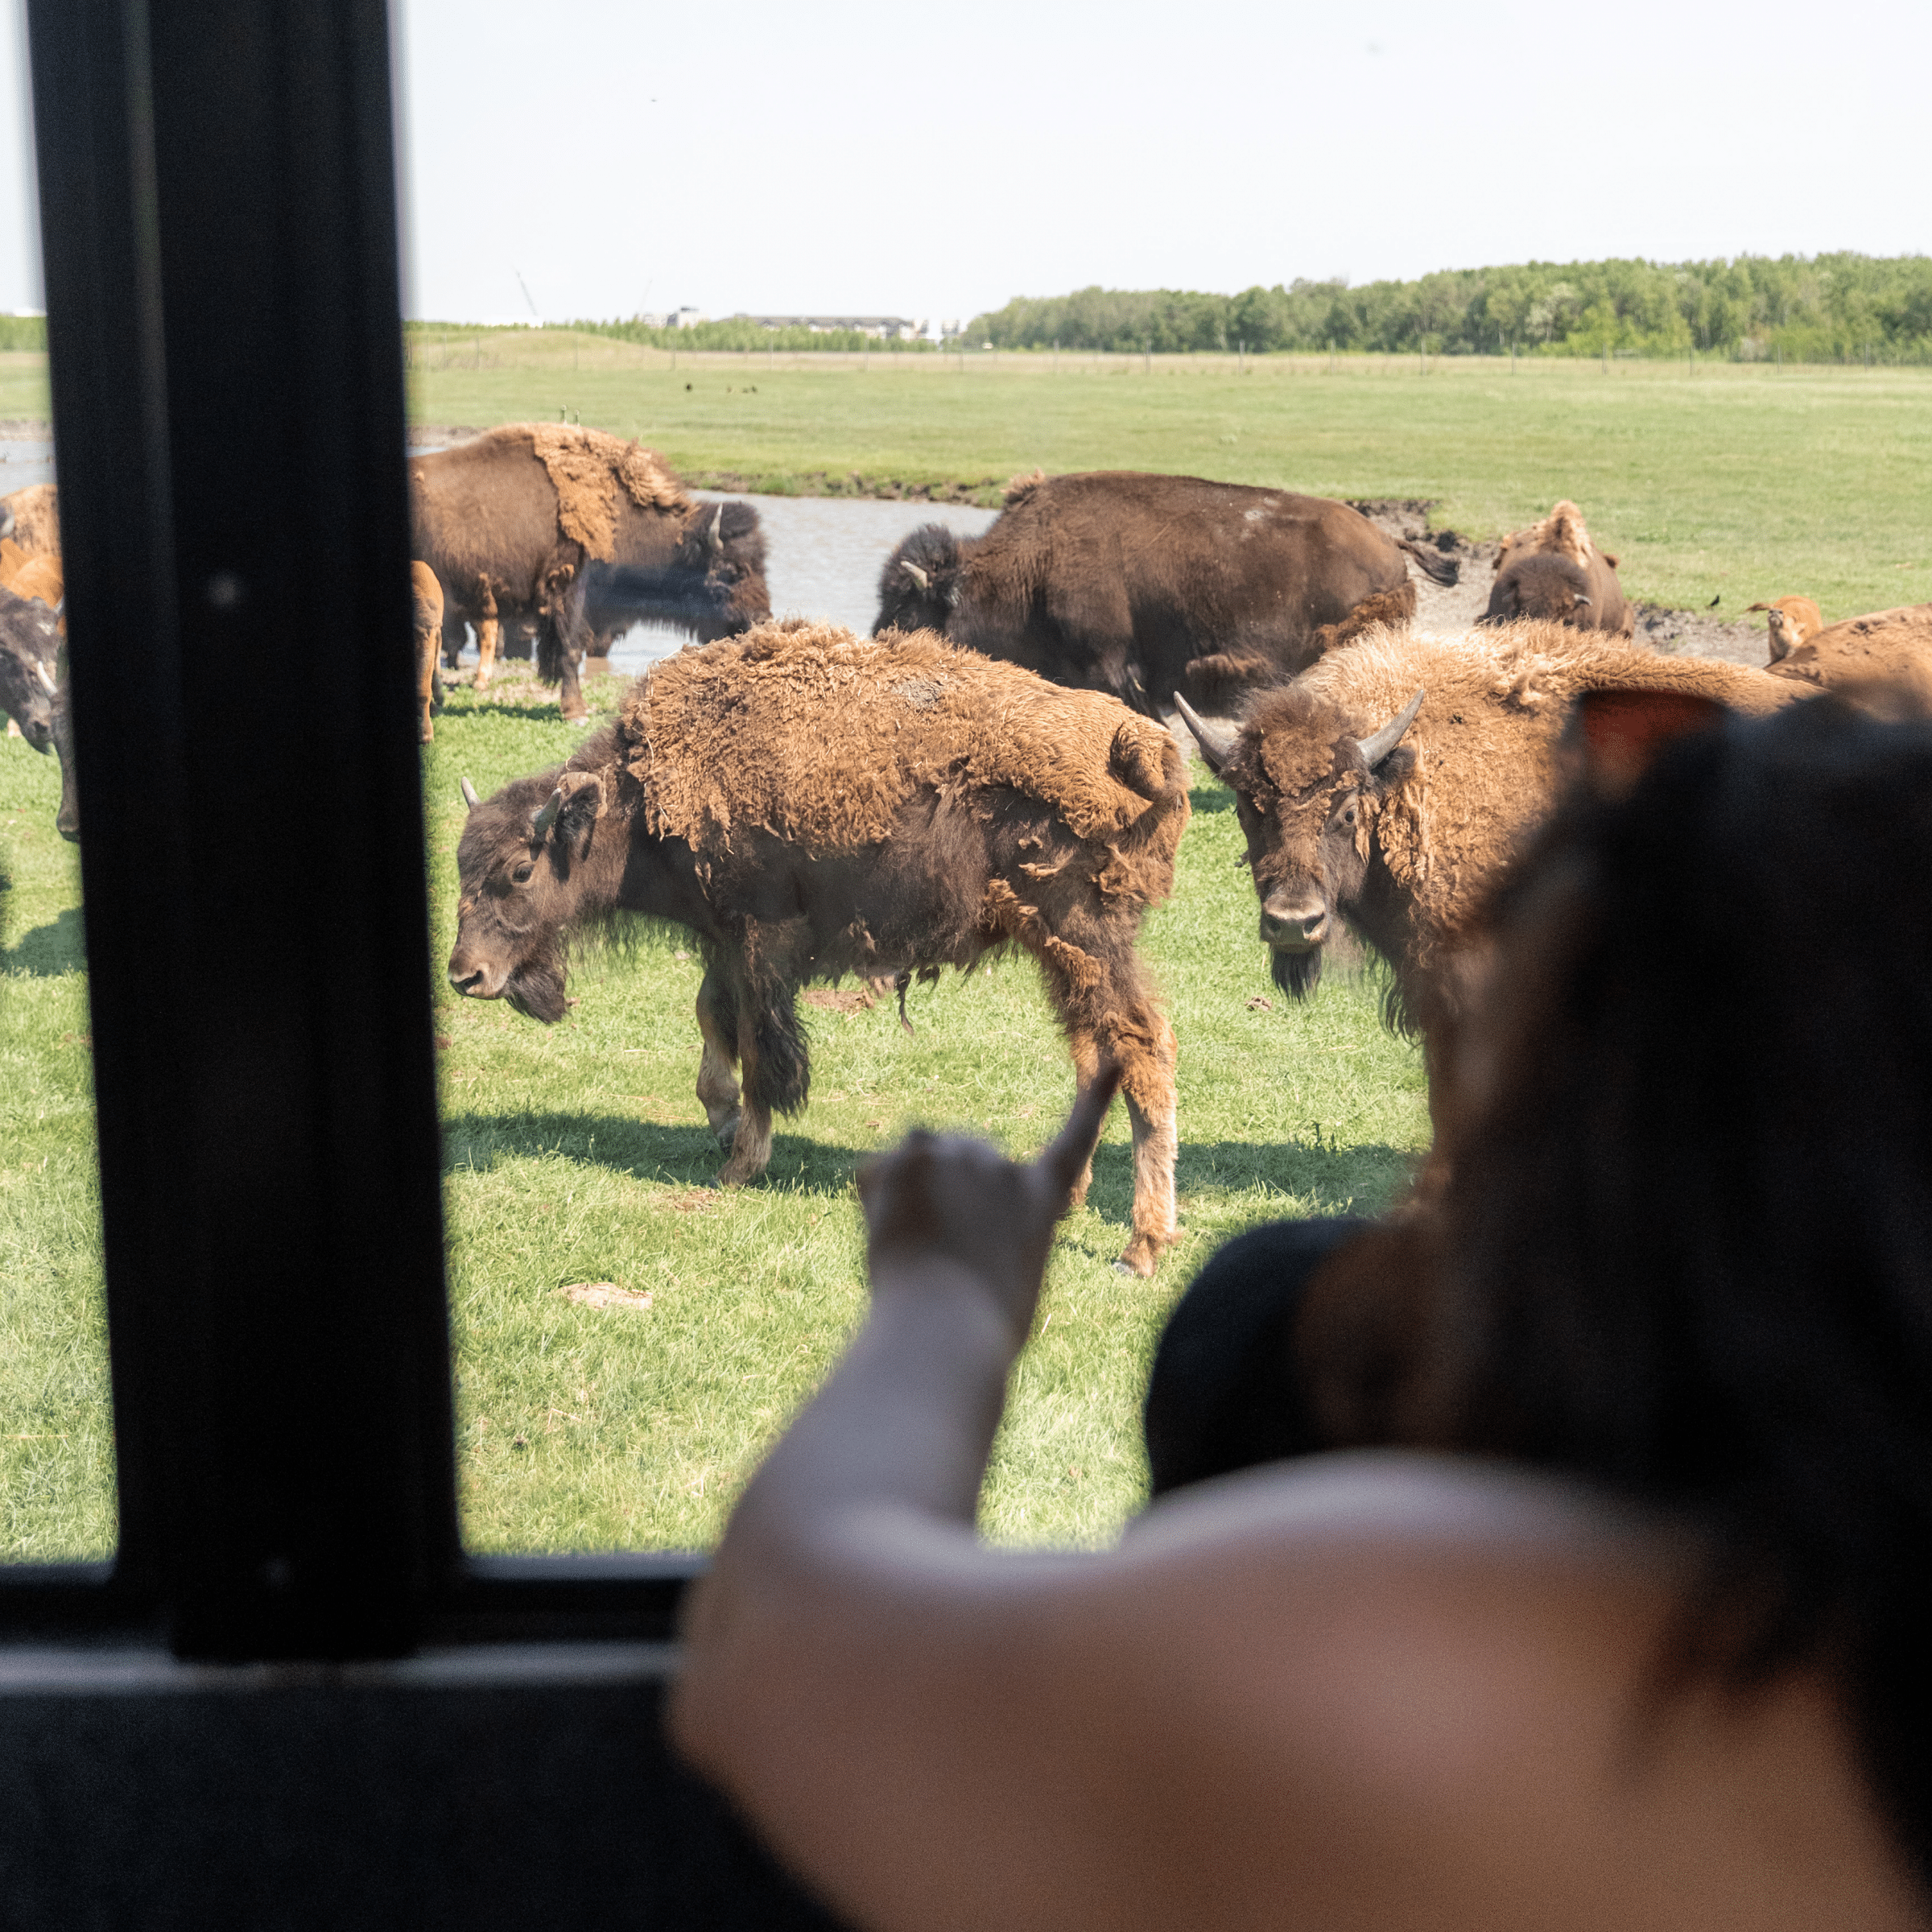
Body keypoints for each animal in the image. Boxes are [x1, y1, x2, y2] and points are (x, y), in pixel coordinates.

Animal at [448, 618, 1190, 1275]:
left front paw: (739, 1163)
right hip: (1062, 953)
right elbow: (712, 1020)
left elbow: (758, 1048)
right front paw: (722, 1120)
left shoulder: (759, 942)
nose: (465, 975)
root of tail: (1140, 744)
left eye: (521, 870)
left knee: (1141, 1047)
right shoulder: (726, 942)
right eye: (462, 864)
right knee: (1096, 1056)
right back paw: (1066, 1200)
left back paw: (1141, 1248)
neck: (640, 797)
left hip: (1083, 938)